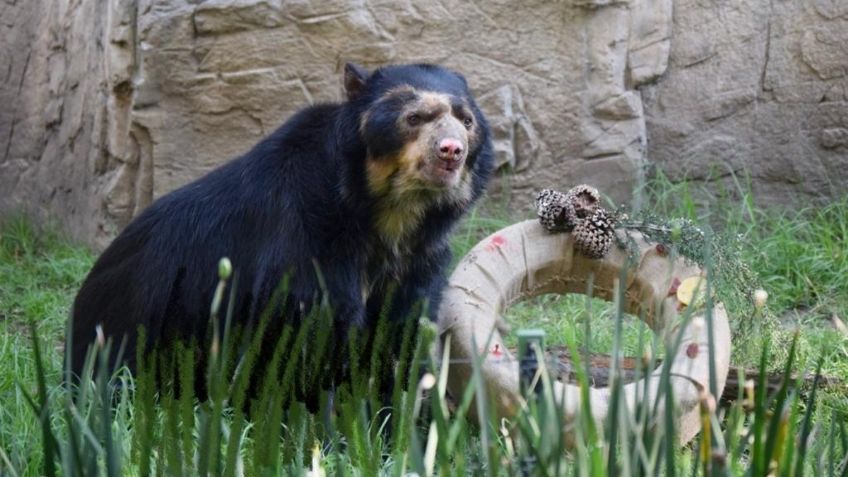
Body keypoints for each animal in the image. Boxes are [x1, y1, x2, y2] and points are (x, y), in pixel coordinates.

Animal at [68, 62, 496, 398]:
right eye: (414, 118)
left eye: (467, 121)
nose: (451, 151)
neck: (390, 215)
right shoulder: (306, 239)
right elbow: (312, 333)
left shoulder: (419, 260)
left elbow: (398, 338)